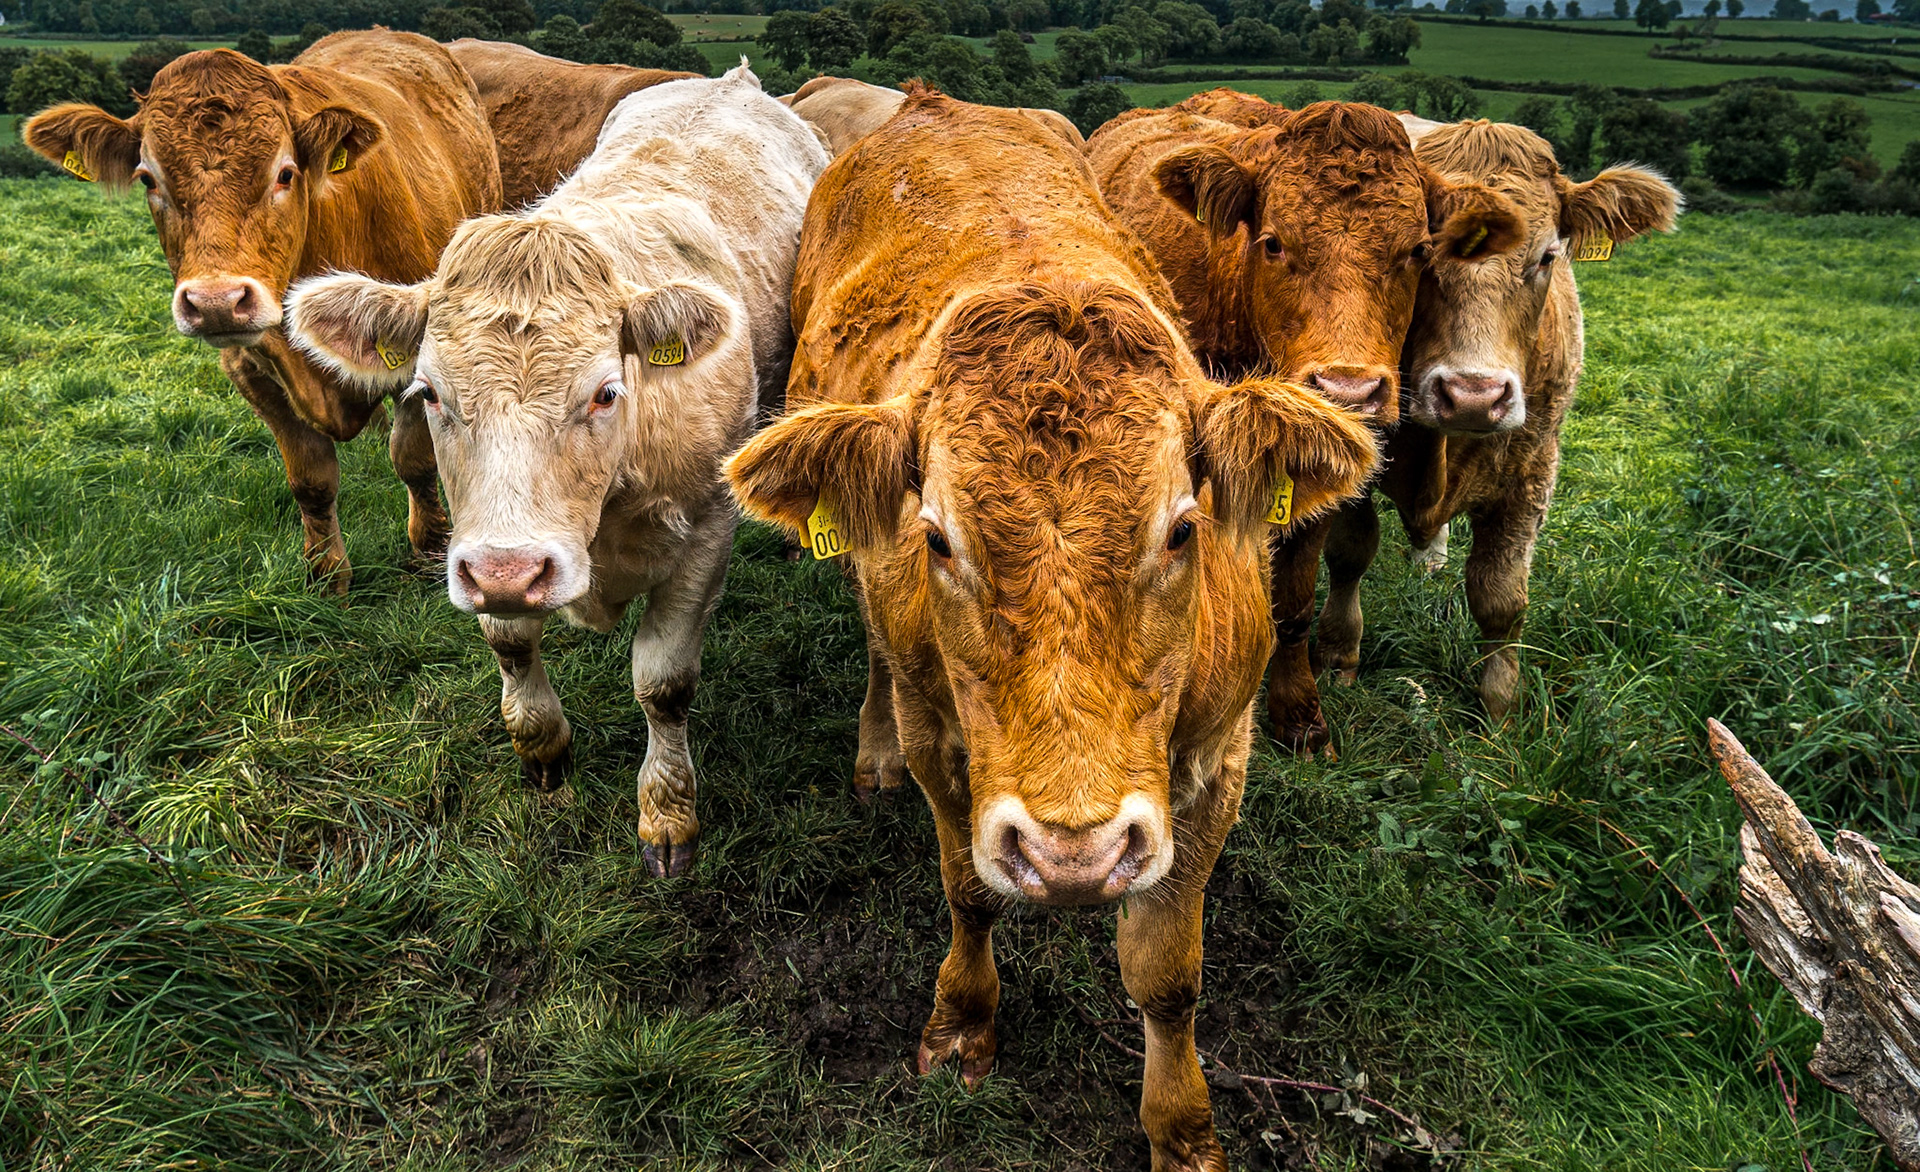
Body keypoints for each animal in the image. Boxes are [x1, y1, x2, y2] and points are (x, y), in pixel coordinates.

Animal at [23, 33, 501, 594]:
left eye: (285, 173)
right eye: (147, 179)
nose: (216, 302)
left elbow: (415, 459)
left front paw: (428, 552)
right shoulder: (253, 371)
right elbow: (311, 480)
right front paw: (326, 578)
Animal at [287, 65, 829, 876]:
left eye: (606, 392)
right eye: (429, 393)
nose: (512, 571)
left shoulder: (706, 534)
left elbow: (664, 684)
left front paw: (667, 814)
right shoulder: (486, 552)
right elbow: (512, 645)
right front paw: (543, 751)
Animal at [724, 89, 1377, 1171]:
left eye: (1184, 526)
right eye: (937, 536)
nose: (1075, 850)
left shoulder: (1217, 759)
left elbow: (1168, 972)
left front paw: (1181, 1126)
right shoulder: (943, 739)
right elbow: (971, 888)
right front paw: (963, 1019)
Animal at [1316, 116, 1680, 719]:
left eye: (1548, 256)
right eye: (1421, 252)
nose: (1472, 396)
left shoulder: (1531, 475)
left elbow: (1500, 597)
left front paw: (1500, 707)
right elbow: (1349, 555)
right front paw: (1339, 659)